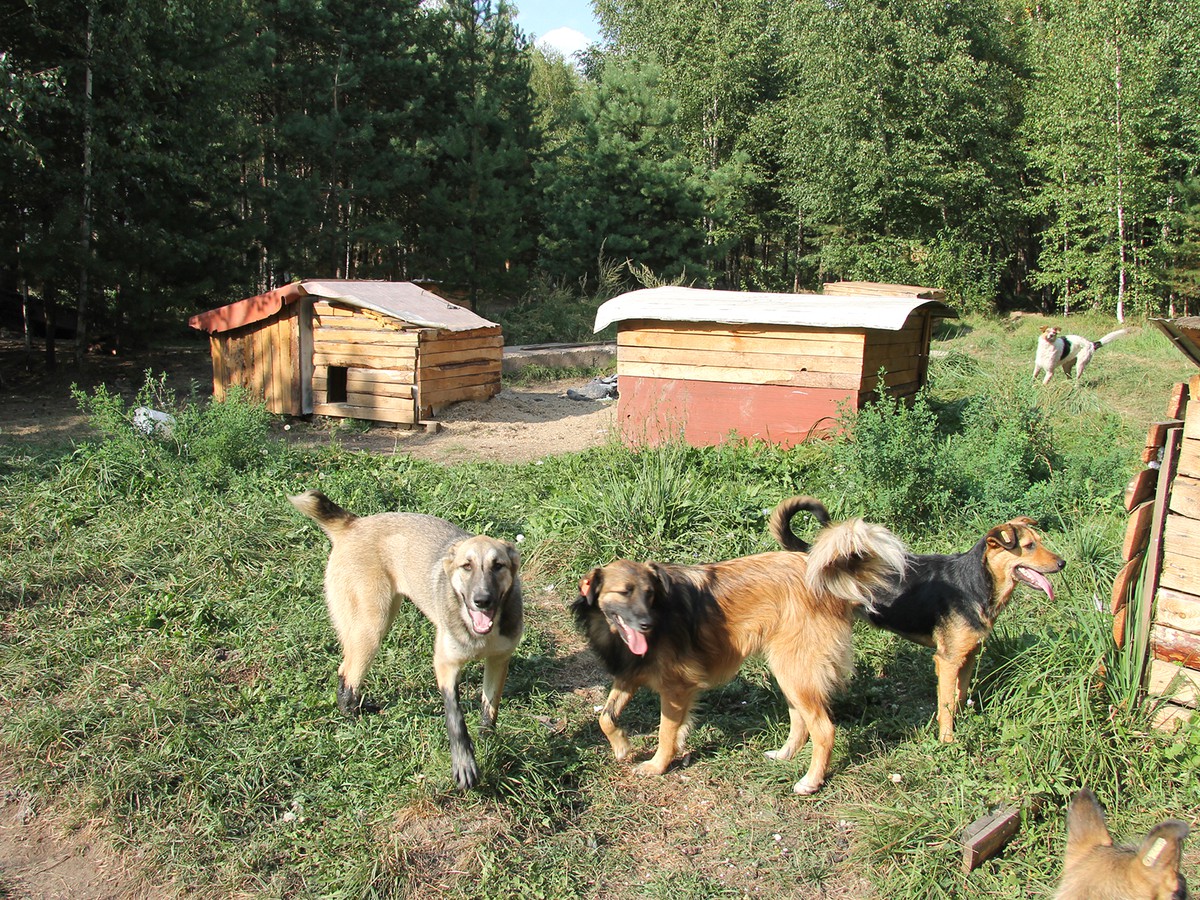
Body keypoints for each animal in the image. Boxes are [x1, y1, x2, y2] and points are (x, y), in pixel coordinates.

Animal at [289, 489, 520, 792]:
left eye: (498, 566)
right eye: (466, 566)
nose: (482, 600)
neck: (479, 635)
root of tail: (352, 523)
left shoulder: (499, 661)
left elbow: (489, 708)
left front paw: (487, 740)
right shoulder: (445, 664)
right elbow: (455, 717)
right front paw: (464, 762)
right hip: (372, 626)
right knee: (347, 673)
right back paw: (352, 716)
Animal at [568, 508, 902, 796]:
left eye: (650, 594)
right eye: (625, 592)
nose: (647, 624)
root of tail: (821, 577)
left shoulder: (676, 687)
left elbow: (665, 732)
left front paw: (656, 766)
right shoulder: (629, 674)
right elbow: (606, 717)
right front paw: (622, 746)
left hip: (796, 671)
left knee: (823, 729)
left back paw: (811, 781)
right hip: (789, 672)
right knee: (800, 721)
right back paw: (784, 755)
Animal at [772, 496, 1065, 744]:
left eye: (1040, 541)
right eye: (1029, 546)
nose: (1062, 563)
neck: (974, 582)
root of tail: (813, 555)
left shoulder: (967, 656)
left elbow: (959, 695)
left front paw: (962, 722)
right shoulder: (947, 660)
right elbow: (946, 704)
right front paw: (947, 740)